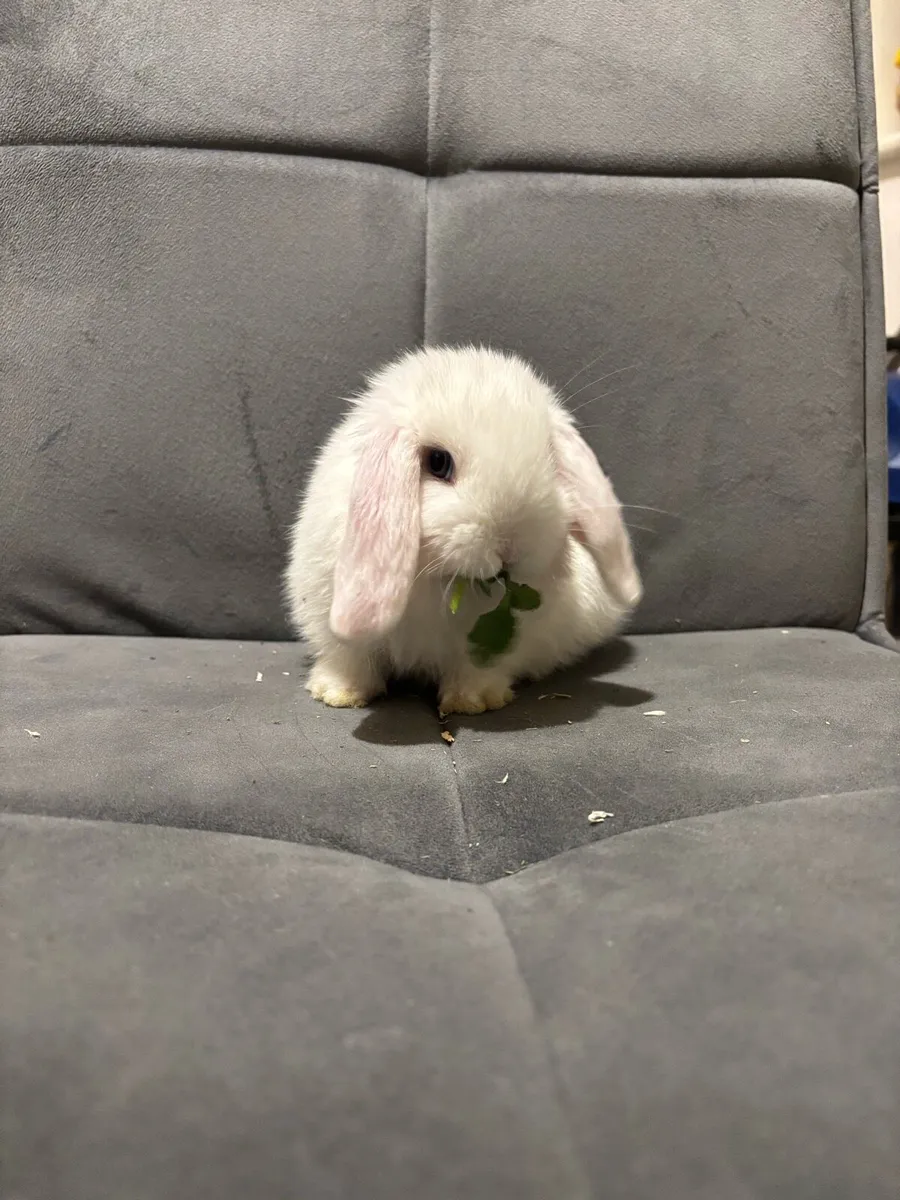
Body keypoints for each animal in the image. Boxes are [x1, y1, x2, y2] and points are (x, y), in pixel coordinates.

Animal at [284, 345, 642, 715]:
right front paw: (338, 694)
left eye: (550, 459)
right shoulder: (328, 616)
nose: (511, 547)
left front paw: (474, 702)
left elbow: (478, 667)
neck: (435, 577)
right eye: (438, 462)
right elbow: (349, 659)